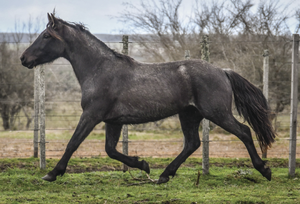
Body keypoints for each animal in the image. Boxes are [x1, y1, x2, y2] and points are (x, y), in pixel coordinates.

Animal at [19, 13, 276, 184]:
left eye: (45, 35)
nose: (23, 58)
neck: (100, 70)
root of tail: (223, 71)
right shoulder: (113, 121)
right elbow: (110, 150)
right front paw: (143, 164)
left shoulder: (91, 115)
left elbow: (73, 143)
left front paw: (52, 173)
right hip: (189, 114)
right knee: (192, 143)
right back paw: (164, 175)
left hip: (217, 113)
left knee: (244, 132)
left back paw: (264, 170)